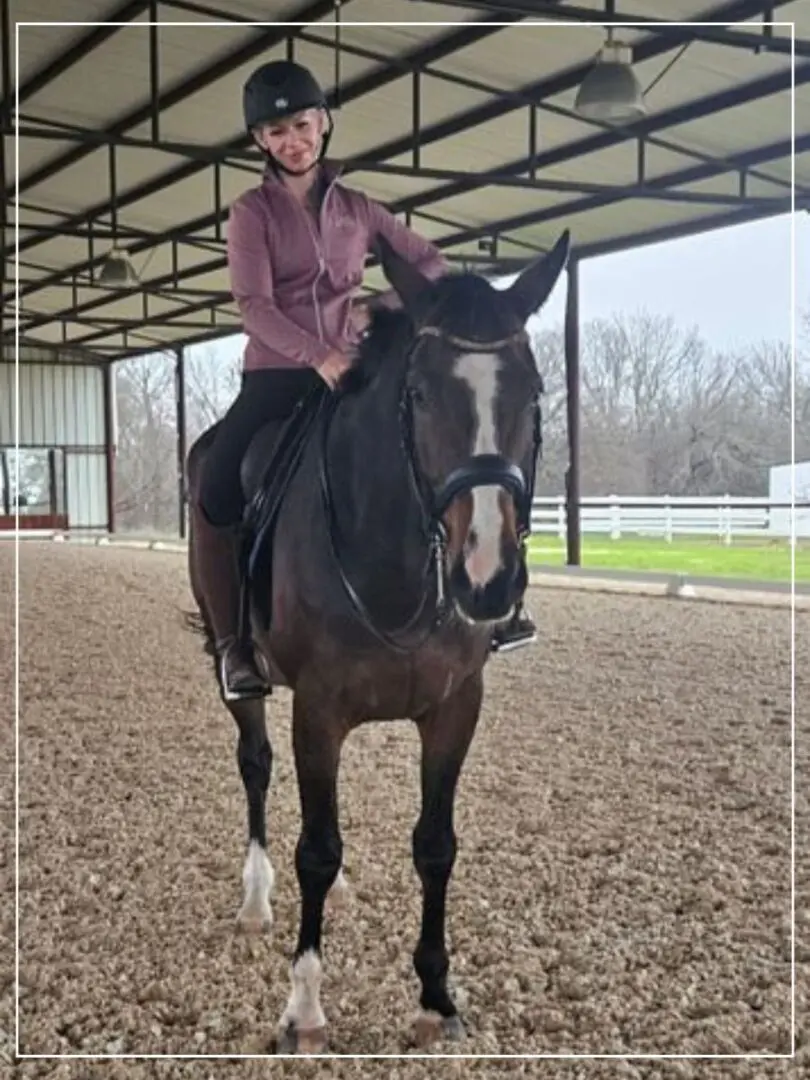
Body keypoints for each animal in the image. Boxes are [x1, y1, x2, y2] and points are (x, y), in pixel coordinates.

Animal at [186, 230, 574, 1054]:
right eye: (420, 394)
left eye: (532, 392)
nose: (487, 578)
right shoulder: (318, 712)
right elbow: (317, 850)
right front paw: (303, 1007)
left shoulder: (455, 708)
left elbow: (435, 844)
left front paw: (435, 997)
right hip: (237, 673)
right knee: (254, 764)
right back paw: (256, 899)